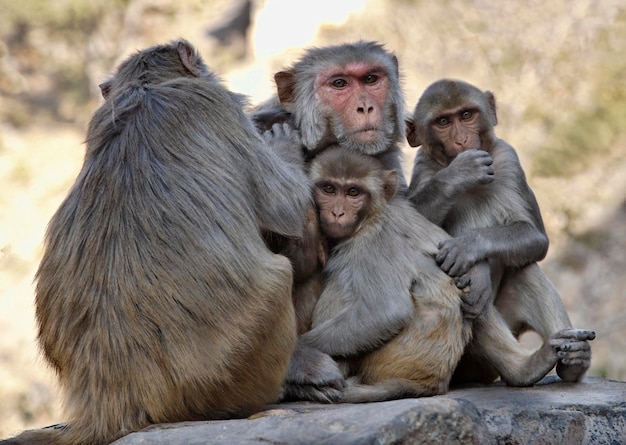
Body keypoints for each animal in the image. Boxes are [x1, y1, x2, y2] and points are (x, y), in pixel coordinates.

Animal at [0, 39, 312, 444]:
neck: (146, 86)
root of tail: (110, 403)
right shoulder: (215, 105)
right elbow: (287, 207)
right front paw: (284, 141)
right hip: (229, 369)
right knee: (279, 276)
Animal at [302, 147, 596, 402]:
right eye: (329, 188)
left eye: (353, 192)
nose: (337, 212)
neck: (374, 214)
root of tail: (429, 382)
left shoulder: (370, 246)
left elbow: (385, 311)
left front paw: (300, 356)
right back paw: (527, 369)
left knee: (343, 283)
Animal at [402, 79, 592, 382]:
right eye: (443, 121)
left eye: (466, 115)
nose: (462, 141)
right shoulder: (423, 167)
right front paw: (459, 174)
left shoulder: (508, 159)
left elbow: (536, 238)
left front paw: (470, 249)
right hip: (460, 363)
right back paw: (526, 369)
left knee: (524, 270)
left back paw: (572, 361)